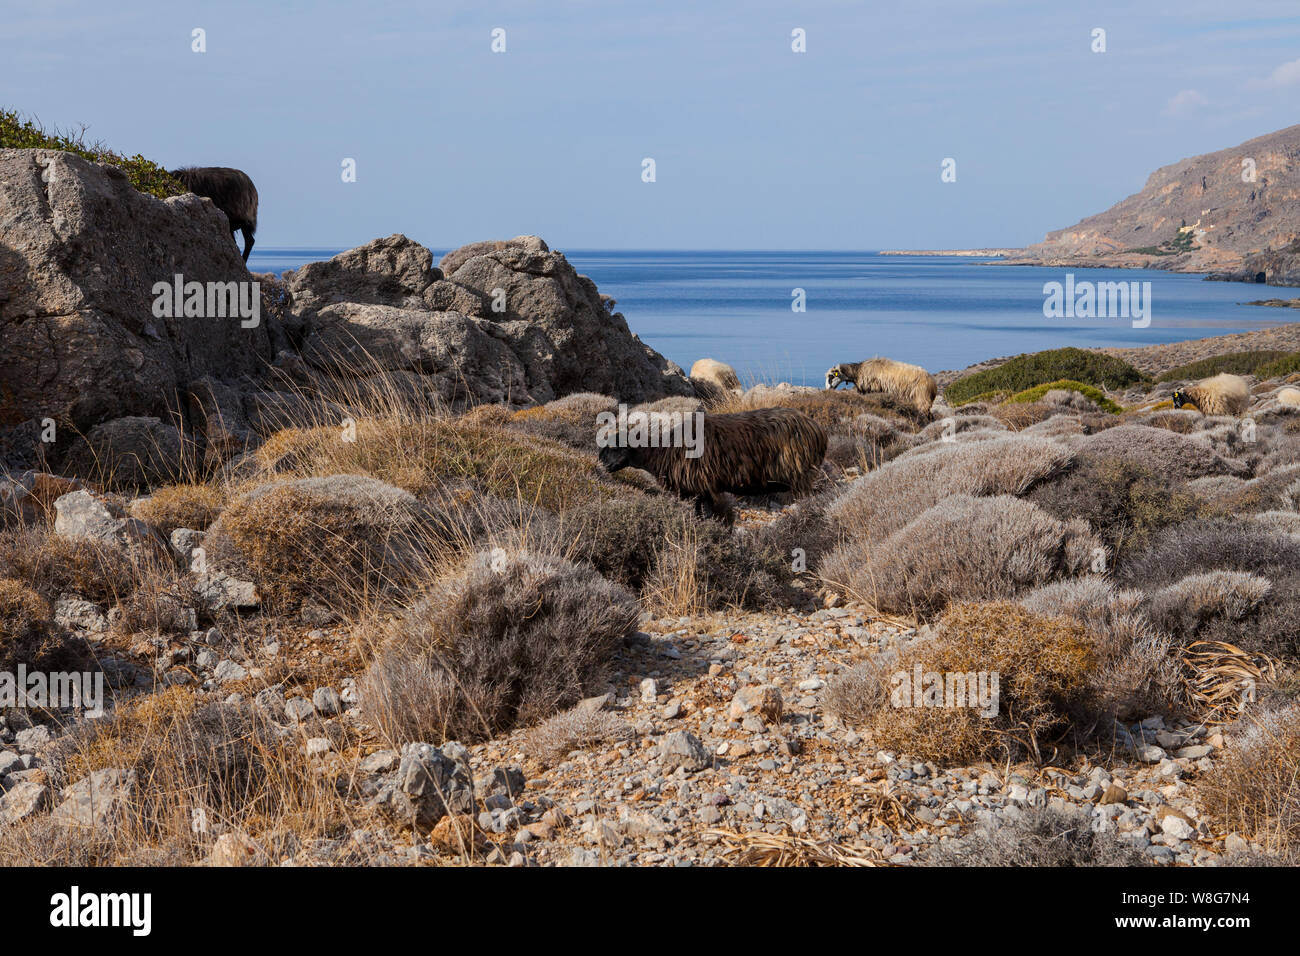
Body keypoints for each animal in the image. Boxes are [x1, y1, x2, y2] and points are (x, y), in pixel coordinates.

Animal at [597, 406, 827, 522]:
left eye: (615, 447)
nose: (600, 465)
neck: (663, 452)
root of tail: (816, 428)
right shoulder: (699, 490)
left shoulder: (703, 486)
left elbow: (705, 515)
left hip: (801, 476)